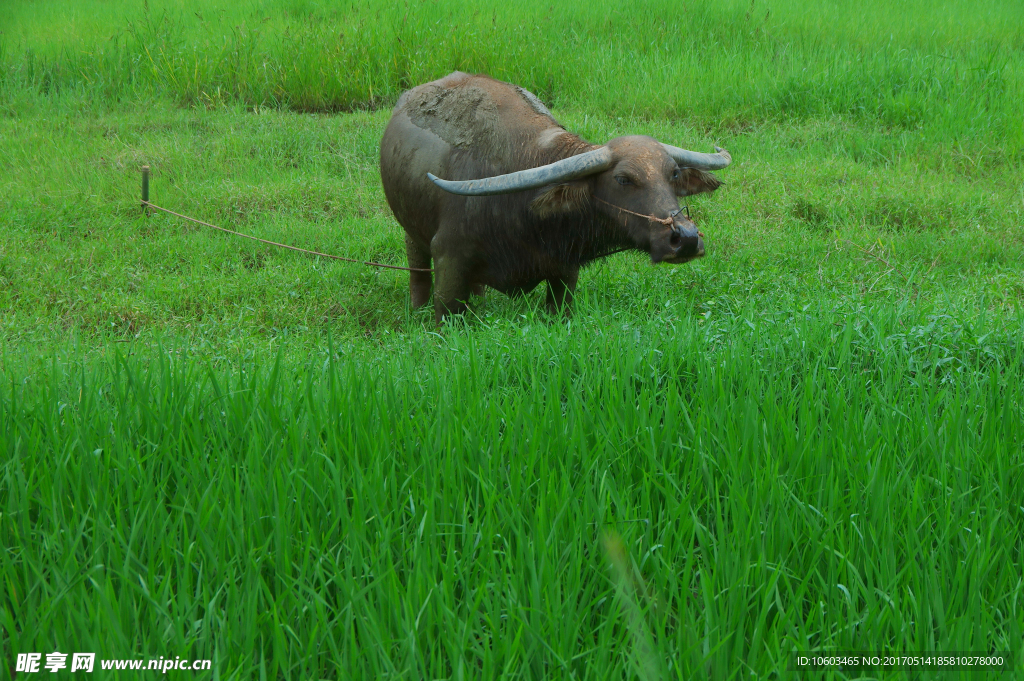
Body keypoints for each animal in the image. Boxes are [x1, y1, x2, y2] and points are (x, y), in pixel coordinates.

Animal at [380, 73, 733, 323]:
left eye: (672, 174)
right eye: (623, 179)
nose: (685, 238)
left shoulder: (564, 273)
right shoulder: (449, 261)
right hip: (412, 235)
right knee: (417, 272)